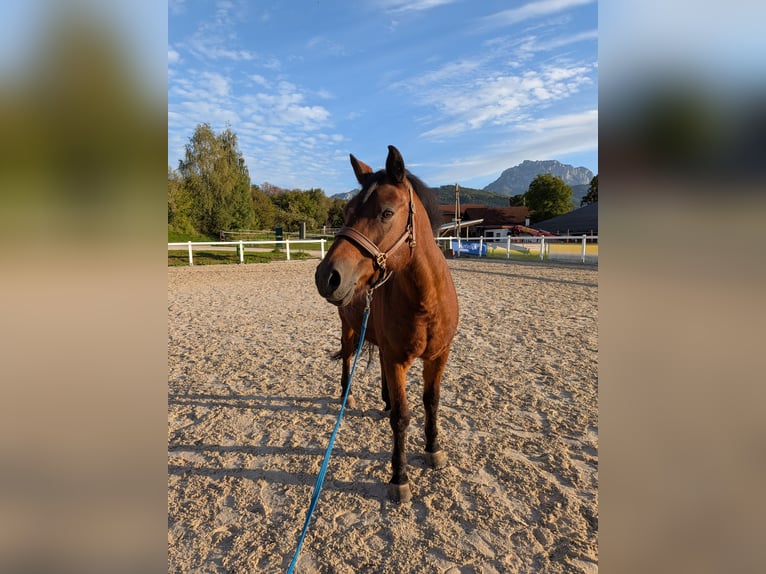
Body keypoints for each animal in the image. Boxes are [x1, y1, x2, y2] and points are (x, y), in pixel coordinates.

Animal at [314, 145, 459, 502]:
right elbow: (402, 417)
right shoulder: (397, 360)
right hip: (349, 329)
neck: (427, 302)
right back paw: (348, 395)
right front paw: (399, 477)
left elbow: (431, 402)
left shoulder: (438, 357)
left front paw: (433, 450)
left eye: (386, 213)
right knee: (348, 358)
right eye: (347, 210)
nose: (326, 276)